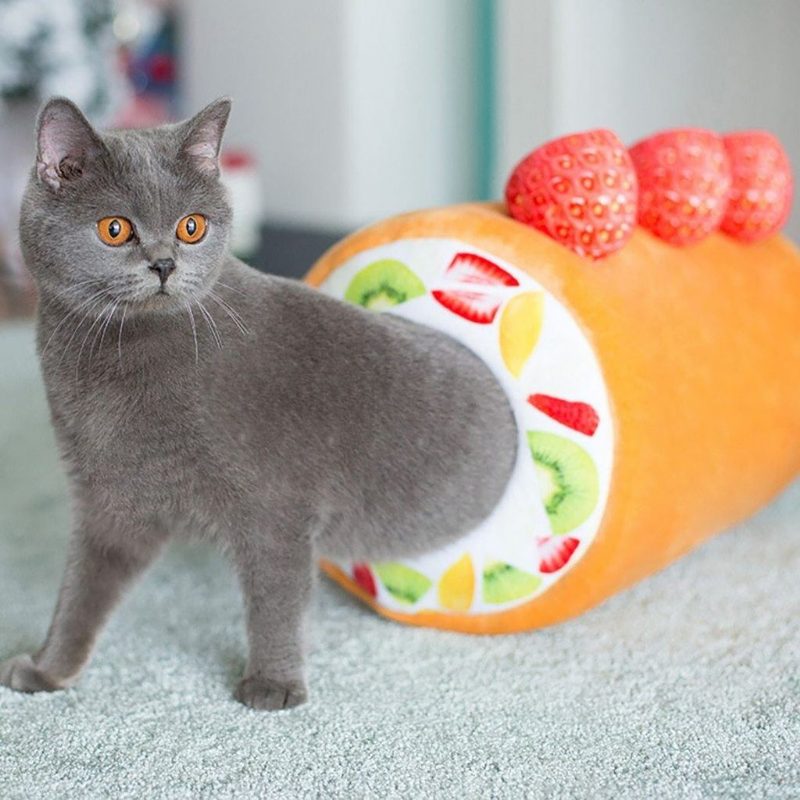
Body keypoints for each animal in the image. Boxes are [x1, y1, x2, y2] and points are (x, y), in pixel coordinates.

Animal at [0, 98, 516, 708]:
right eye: (114, 228)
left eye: (191, 227)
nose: (164, 264)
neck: (116, 360)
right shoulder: (110, 498)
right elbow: (81, 591)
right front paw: (48, 669)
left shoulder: (276, 504)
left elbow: (275, 597)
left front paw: (273, 685)